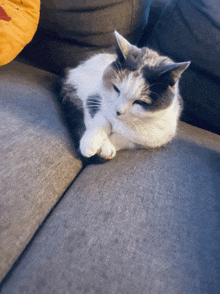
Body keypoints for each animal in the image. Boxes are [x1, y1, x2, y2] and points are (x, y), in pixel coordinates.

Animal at [59, 31, 189, 161]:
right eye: (116, 89)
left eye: (140, 102)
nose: (118, 111)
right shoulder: (94, 97)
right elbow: (101, 119)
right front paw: (91, 143)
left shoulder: (156, 137)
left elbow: (124, 138)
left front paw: (107, 147)